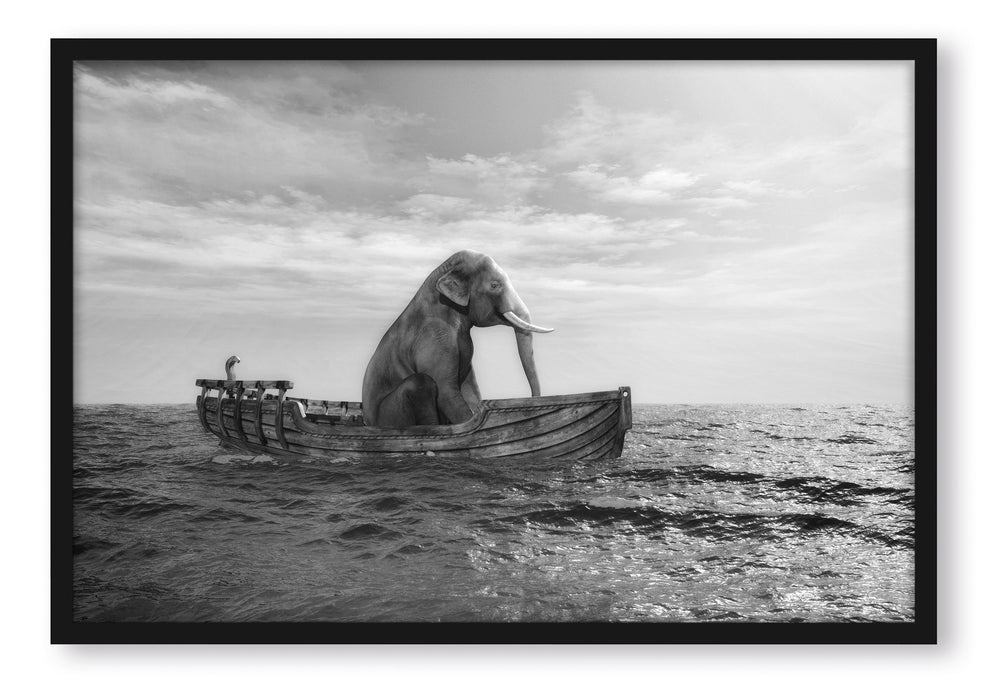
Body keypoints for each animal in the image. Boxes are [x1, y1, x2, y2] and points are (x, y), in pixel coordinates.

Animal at [361, 250, 553, 428]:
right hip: (390, 414)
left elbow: (470, 389)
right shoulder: (434, 337)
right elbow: (446, 392)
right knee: (421, 382)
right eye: (494, 285)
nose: (533, 399)